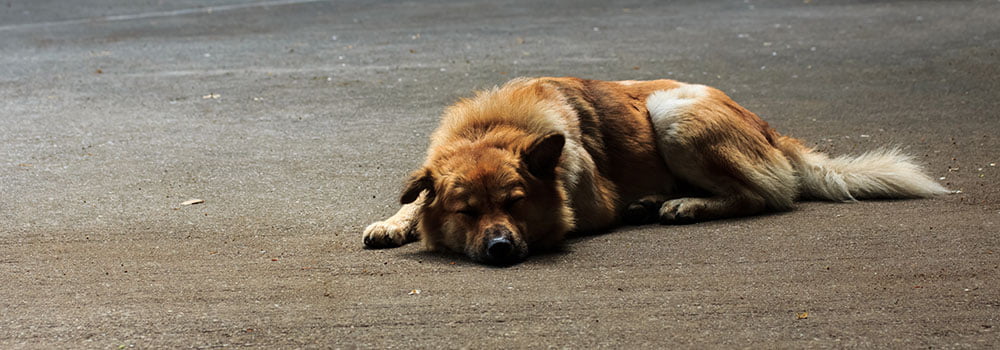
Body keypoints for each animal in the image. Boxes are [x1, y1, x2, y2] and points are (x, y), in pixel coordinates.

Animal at [364, 77, 948, 266]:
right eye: (467, 211)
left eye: (515, 203)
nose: (501, 249)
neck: (491, 129)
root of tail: (766, 126)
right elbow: (415, 198)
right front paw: (394, 222)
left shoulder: (583, 202)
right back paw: (651, 203)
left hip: (671, 113)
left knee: (762, 196)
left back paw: (684, 205)